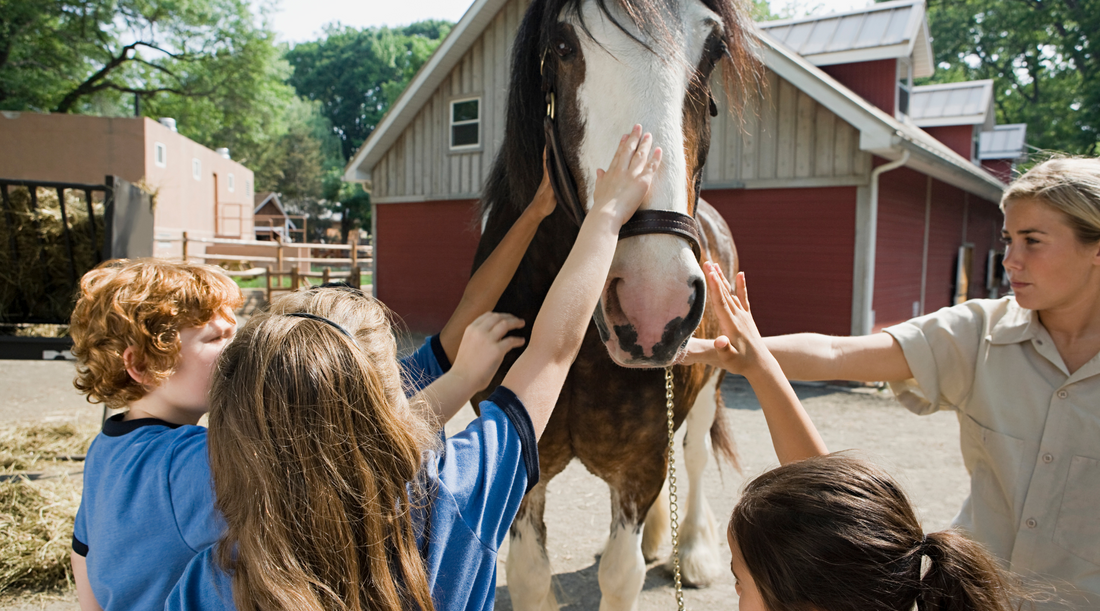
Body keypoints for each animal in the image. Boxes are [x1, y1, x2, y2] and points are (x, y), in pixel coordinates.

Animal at [468, 2, 761, 607]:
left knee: (693, 455)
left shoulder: (639, 464)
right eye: (562, 46)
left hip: (709, 389)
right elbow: (529, 574)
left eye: (715, 49)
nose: (654, 305)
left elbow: (621, 576)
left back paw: (692, 551)